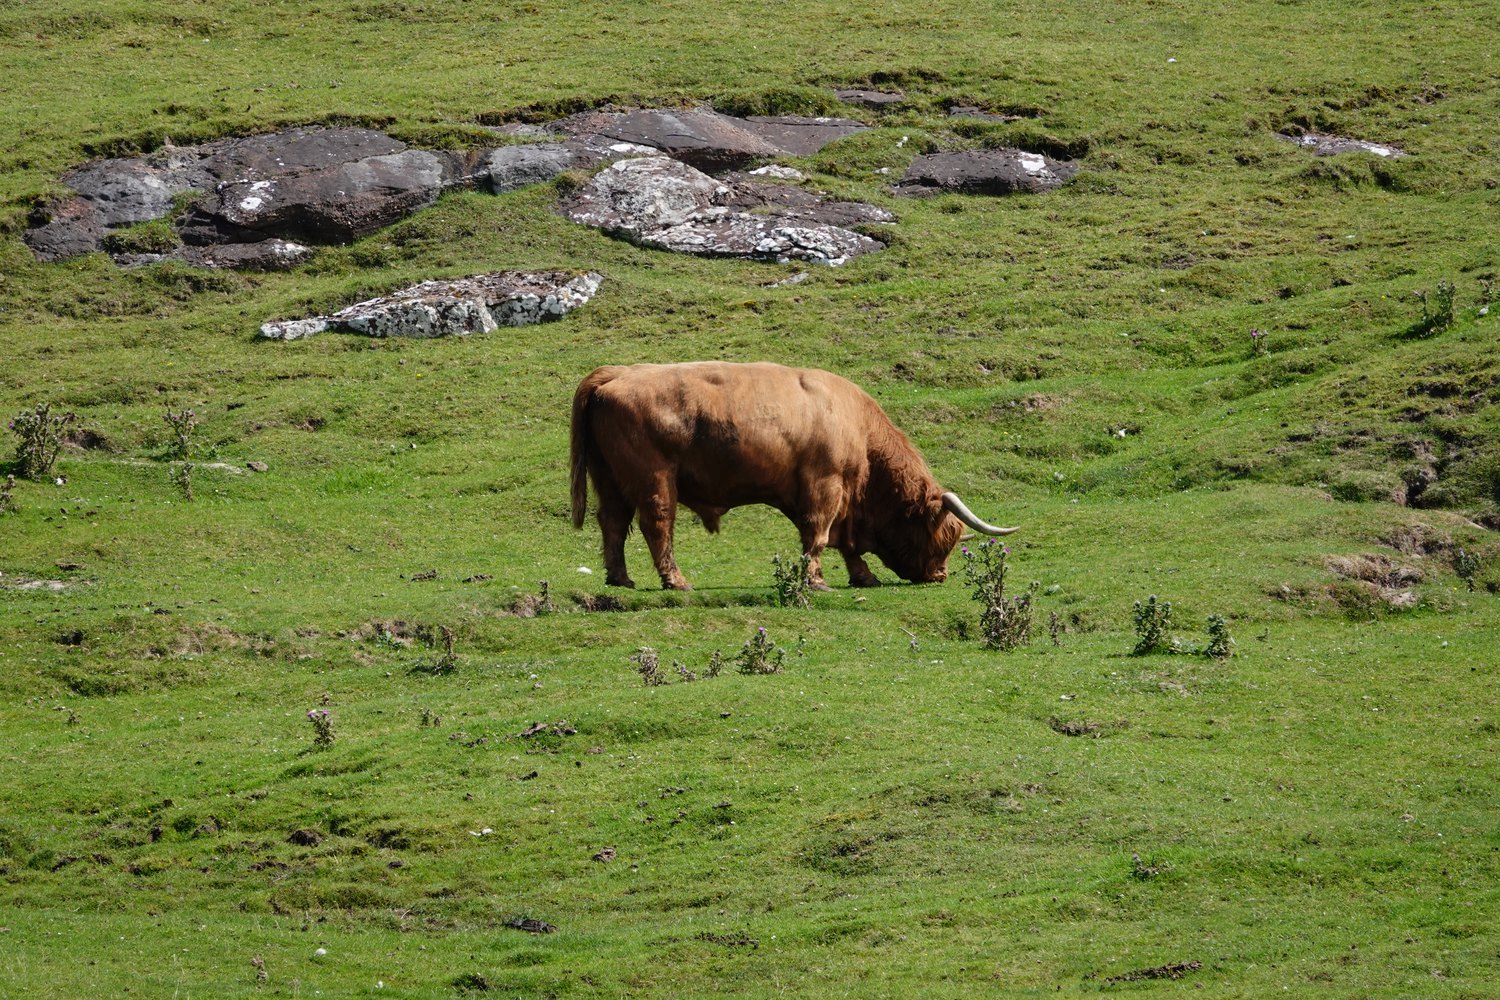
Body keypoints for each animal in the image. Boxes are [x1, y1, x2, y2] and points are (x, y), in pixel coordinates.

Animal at [569, 361, 1017, 591]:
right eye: (942, 535)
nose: (939, 576)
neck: (857, 425)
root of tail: (614, 374)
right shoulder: (825, 485)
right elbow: (817, 535)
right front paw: (817, 581)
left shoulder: (841, 497)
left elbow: (841, 542)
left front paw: (863, 576)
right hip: (655, 480)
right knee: (657, 525)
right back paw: (675, 580)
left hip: (609, 481)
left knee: (613, 524)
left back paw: (620, 579)